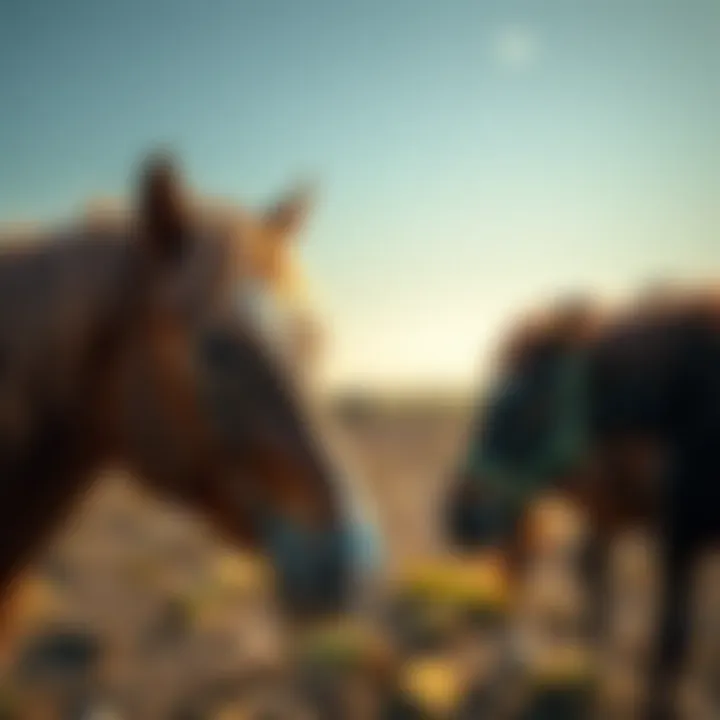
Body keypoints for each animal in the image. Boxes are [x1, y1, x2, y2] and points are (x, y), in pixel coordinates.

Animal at [444, 290, 720, 719]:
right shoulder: (665, 531)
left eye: (532, 403)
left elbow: (660, 637)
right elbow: (651, 632)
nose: (458, 514)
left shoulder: (672, 533)